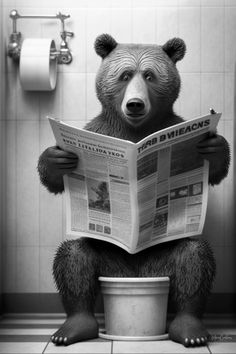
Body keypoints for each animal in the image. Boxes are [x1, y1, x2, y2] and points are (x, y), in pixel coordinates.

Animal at [37, 34, 230, 348]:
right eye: (125, 75)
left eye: (149, 75)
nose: (135, 104)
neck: (136, 130)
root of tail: (135, 273)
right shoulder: (101, 131)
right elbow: (55, 179)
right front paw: (57, 158)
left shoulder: (173, 124)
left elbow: (214, 171)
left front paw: (212, 146)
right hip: (108, 257)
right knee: (73, 258)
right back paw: (72, 328)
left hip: (162, 257)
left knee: (194, 260)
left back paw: (191, 330)